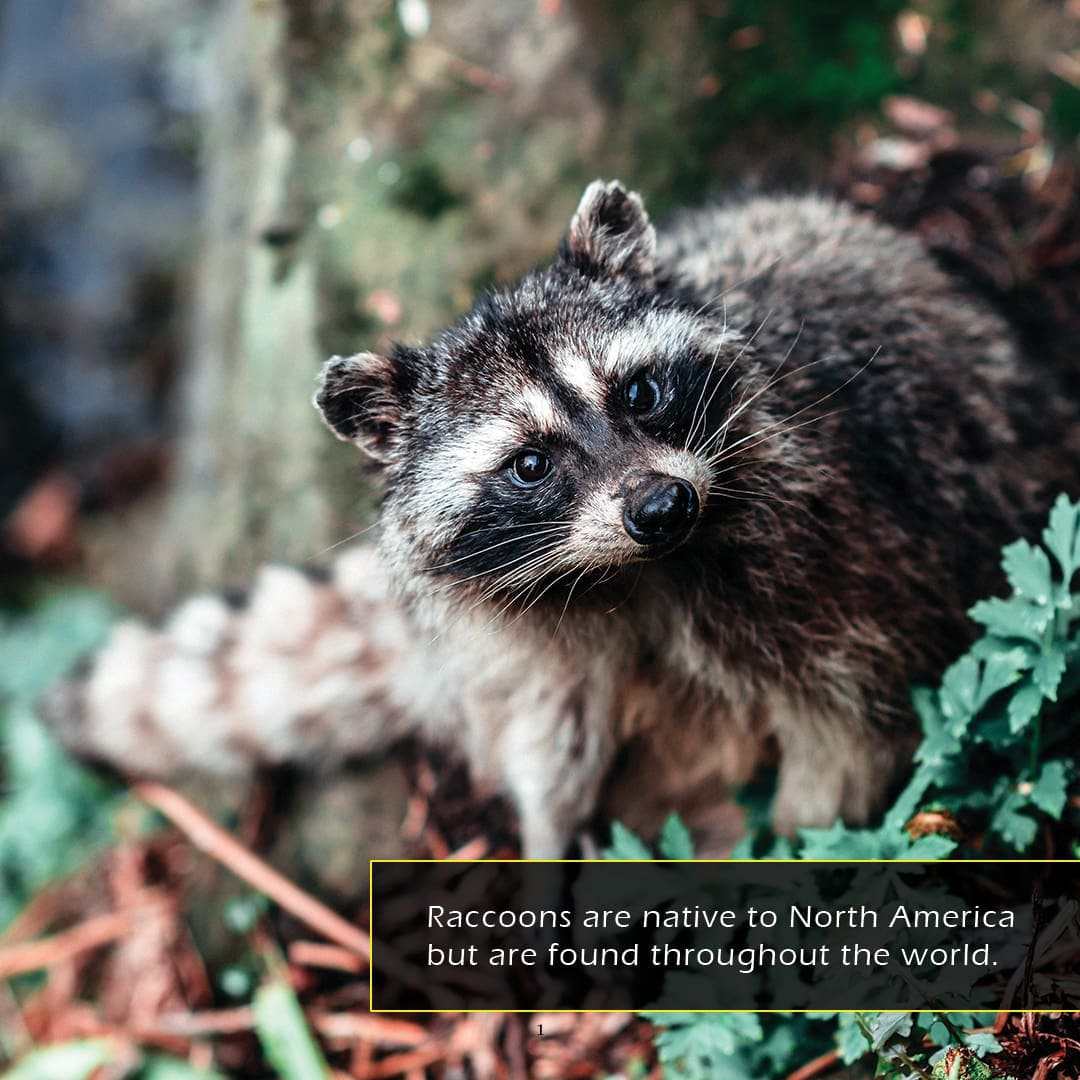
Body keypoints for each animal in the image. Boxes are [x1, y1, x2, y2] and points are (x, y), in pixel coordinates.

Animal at [54, 180, 1080, 857]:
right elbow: (550, 739)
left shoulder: (835, 548)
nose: (663, 505)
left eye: (641, 392)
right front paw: (552, 840)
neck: (639, 571)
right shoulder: (521, 643)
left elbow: (851, 723)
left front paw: (799, 840)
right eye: (531, 464)